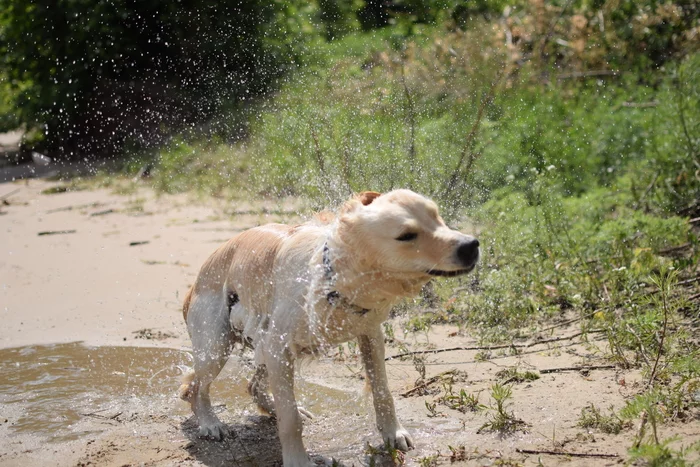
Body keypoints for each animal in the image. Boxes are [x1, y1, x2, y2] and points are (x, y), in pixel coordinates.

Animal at [178, 190, 478, 467]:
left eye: (437, 217)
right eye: (406, 235)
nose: (471, 245)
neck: (333, 277)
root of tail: (196, 280)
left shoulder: (371, 334)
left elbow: (382, 390)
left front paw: (394, 433)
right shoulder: (278, 345)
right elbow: (290, 420)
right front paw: (298, 460)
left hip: (264, 345)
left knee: (252, 385)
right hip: (217, 346)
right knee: (194, 387)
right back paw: (211, 423)